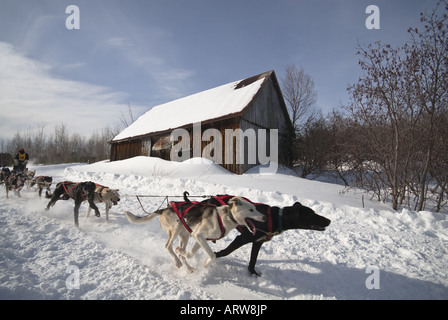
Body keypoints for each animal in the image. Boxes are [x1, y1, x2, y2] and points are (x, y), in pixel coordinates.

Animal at [183, 191, 332, 276]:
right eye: (311, 214)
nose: (329, 220)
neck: (276, 218)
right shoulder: (243, 238)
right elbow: (225, 251)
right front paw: (211, 258)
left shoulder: (258, 242)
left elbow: (253, 260)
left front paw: (252, 272)